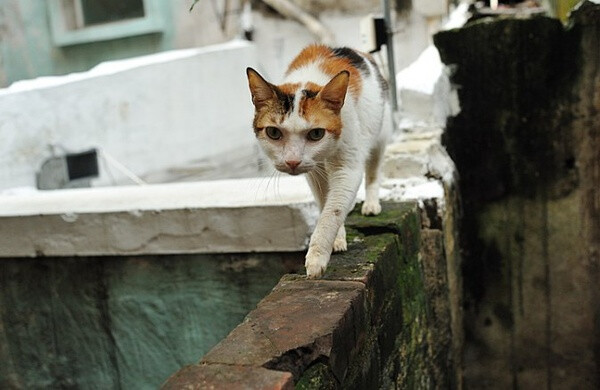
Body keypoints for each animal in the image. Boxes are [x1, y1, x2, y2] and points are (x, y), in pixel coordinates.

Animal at [246, 44, 392, 278]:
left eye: (316, 134)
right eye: (273, 132)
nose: (292, 161)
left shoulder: (347, 167)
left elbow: (332, 212)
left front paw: (317, 258)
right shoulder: (314, 173)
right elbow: (325, 203)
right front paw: (338, 239)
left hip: (380, 137)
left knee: (373, 173)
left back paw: (371, 204)